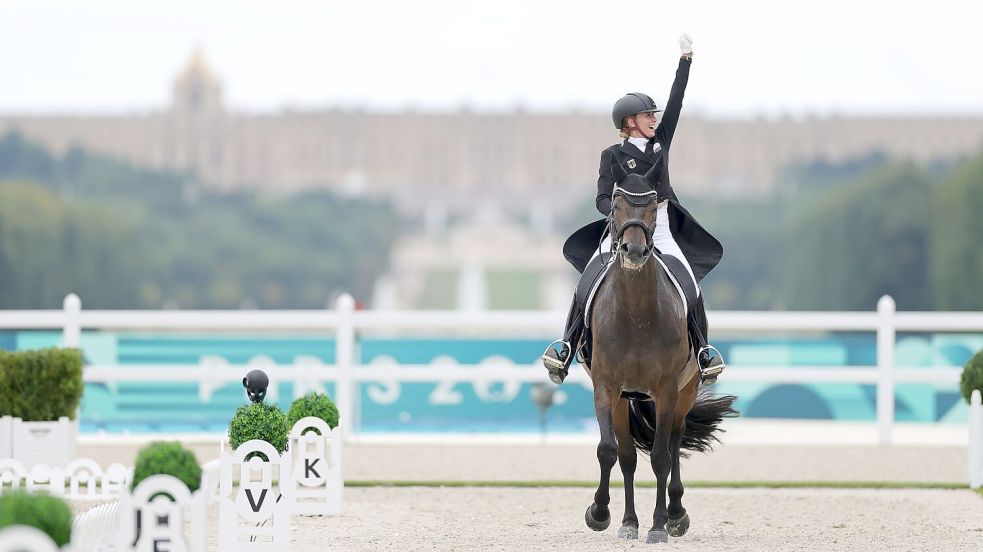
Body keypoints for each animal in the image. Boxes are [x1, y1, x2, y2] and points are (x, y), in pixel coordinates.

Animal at [580, 169, 736, 544]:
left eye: (652, 208)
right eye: (615, 205)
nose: (634, 250)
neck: (636, 313)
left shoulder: (666, 390)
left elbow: (662, 458)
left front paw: (659, 525)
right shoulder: (607, 387)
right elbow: (609, 450)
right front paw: (601, 515)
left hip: (684, 392)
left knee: (674, 443)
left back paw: (675, 515)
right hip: (626, 399)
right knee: (627, 456)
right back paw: (629, 521)